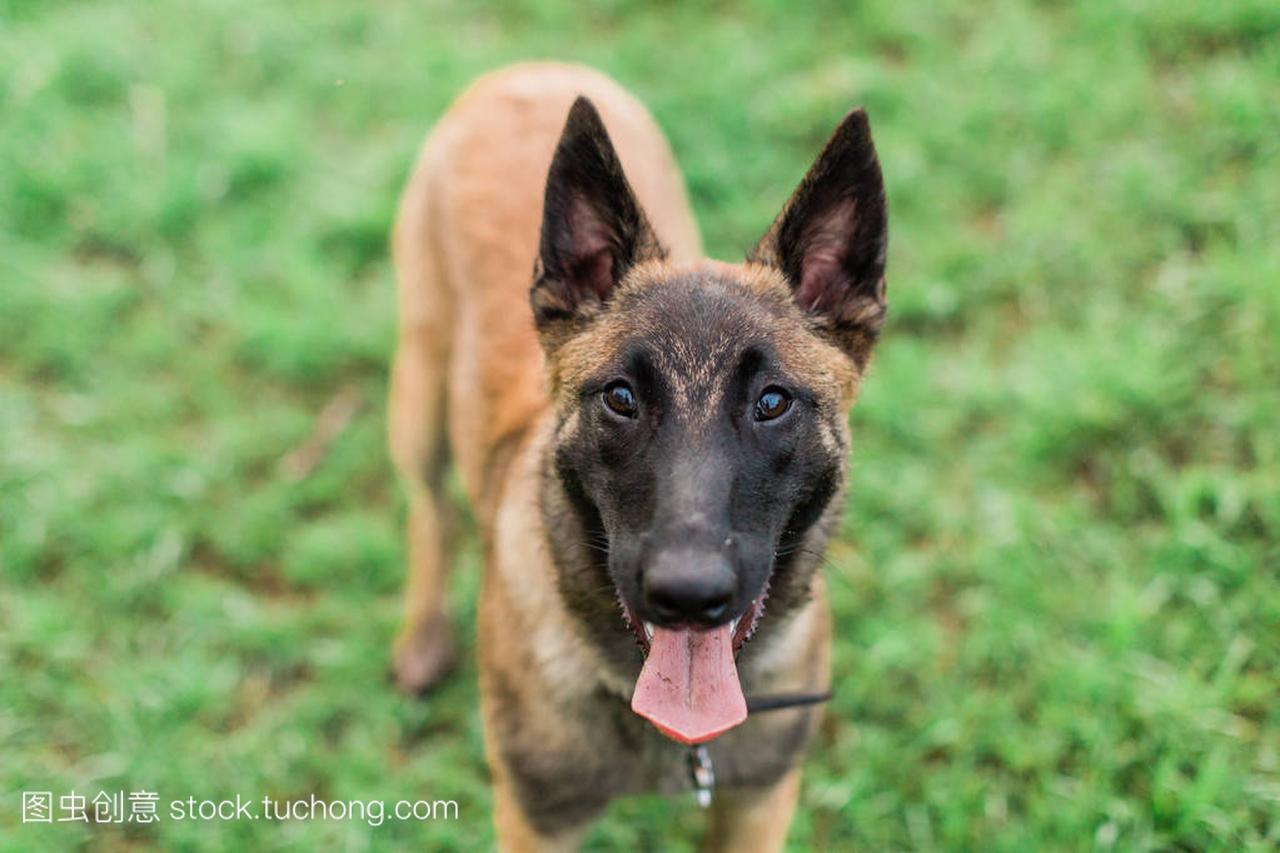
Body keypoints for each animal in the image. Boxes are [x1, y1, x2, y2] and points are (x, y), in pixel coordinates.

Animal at [389, 63, 890, 845]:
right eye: (621, 397)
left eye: (772, 402)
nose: (688, 594)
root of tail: (532, 71)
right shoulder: (538, 821)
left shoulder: (757, 806)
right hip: (419, 398)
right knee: (430, 509)